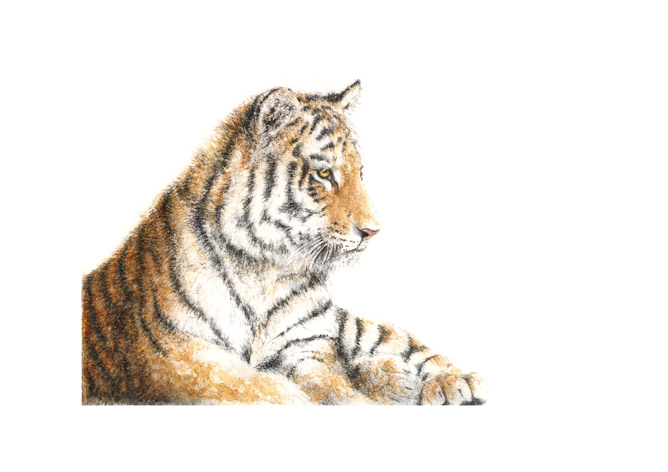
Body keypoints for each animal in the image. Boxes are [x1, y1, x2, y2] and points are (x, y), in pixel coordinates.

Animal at [81, 81, 486, 405]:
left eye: (359, 173)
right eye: (324, 173)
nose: (373, 231)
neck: (267, 269)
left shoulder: (306, 348)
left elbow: (336, 387)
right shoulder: (174, 353)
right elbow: (255, 386)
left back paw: (452, 382)